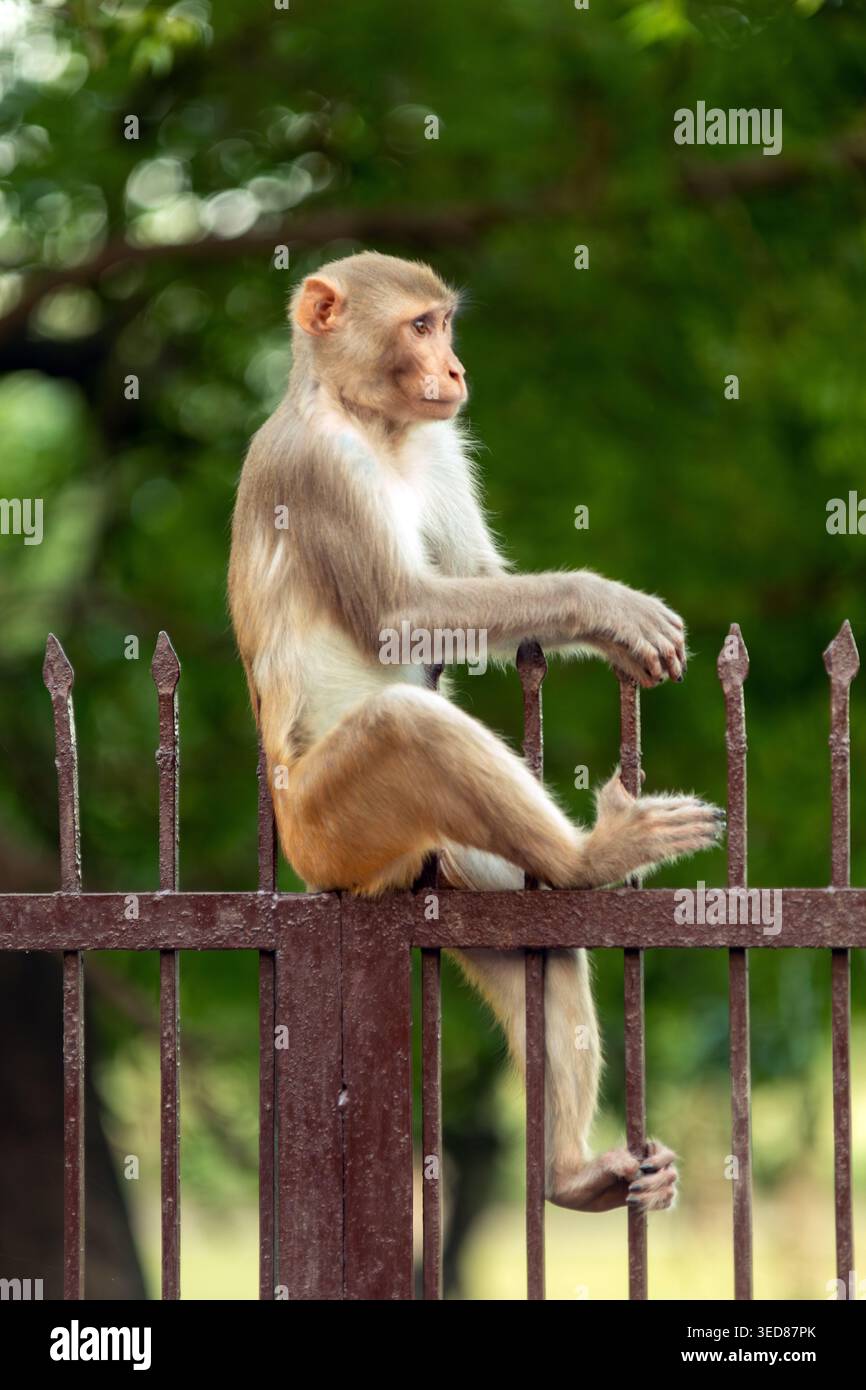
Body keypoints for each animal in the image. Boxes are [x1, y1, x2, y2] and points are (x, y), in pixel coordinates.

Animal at [228, 250, 724, 1215]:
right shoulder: (317, 468)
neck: (368, 421)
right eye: (422, 327)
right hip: (328, 831)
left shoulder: (437, 445)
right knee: (407, 724)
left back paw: (567, 1174)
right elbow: (402, 612)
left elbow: (479, 579)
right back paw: (592, 858)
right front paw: (606, 604)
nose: (455, 370)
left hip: (444, 860)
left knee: (539, 944)